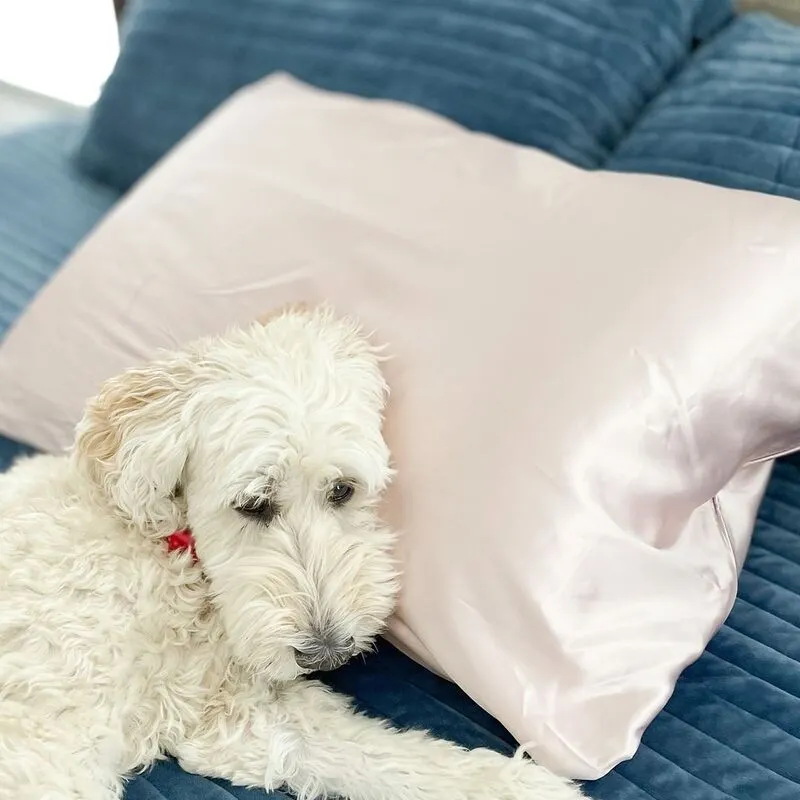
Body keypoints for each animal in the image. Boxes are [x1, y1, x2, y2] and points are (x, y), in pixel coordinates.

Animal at [0, 306, 580, 800]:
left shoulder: (237, 713)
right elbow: (381, 752)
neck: (173, 558)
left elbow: (377, 755)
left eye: (343, 489)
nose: (327, 654)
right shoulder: (217, 719)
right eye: (253, 504)